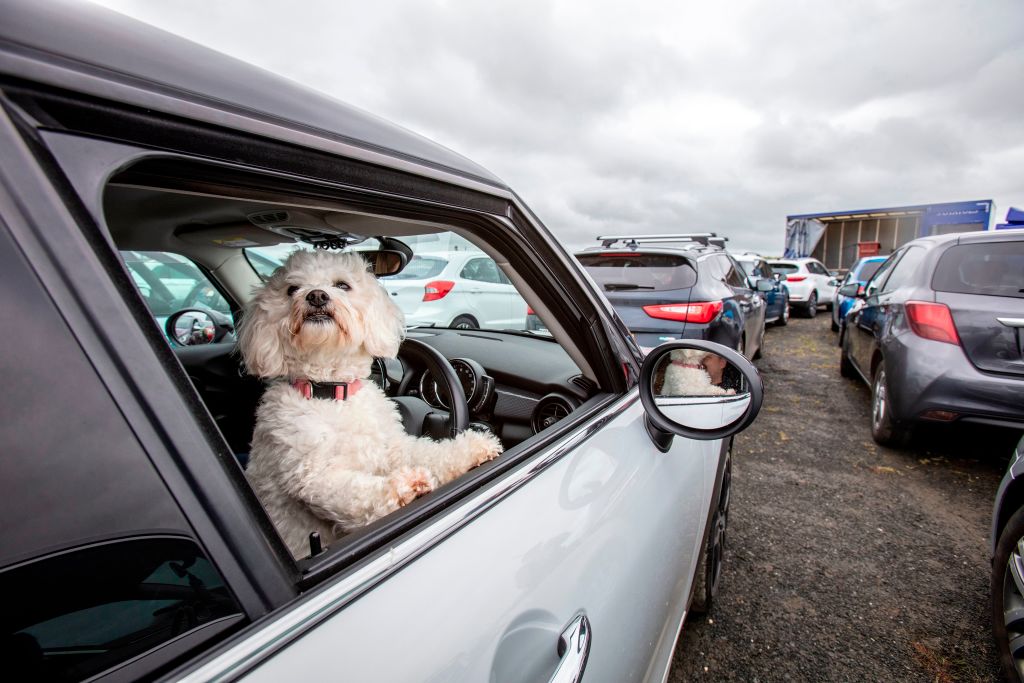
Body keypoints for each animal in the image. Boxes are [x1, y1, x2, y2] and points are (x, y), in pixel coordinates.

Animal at [238, 249, 502, 558]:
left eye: (342, 285)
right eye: (292, 289)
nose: (316, 296)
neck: (333, 390)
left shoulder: (392, 447)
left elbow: (429, 452)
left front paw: (473, 448)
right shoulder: (311, 475)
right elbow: (355, 491)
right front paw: (402, 487)